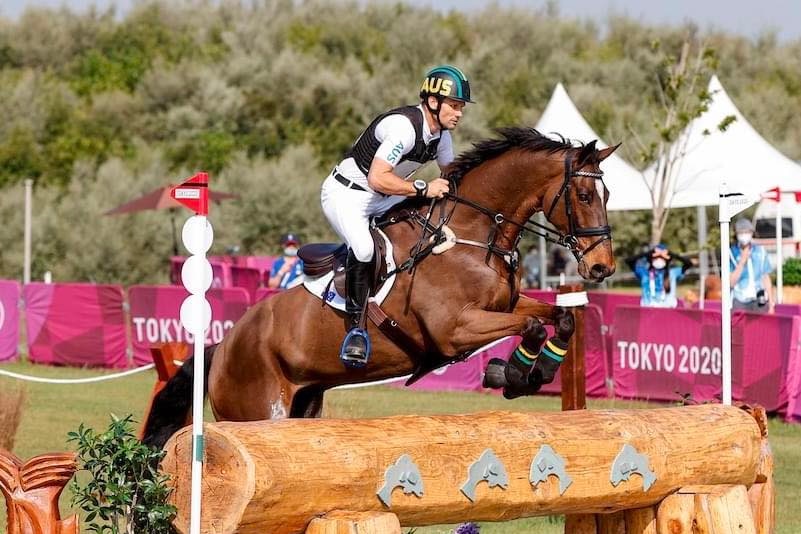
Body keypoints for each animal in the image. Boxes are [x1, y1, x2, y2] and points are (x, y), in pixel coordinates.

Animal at [142, 127, 618, 448]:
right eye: (582, 195)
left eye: (608, 194)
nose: (601, 267)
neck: (471, 234)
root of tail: (223, 346)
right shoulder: (455, 329)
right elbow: (532, 327)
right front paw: (514, 373)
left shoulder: (506, 305)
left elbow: (558, 317)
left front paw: (527, 373)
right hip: (256, 412)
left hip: (304, 405)